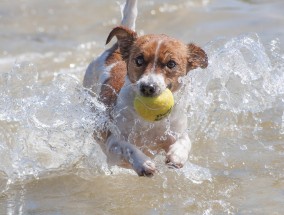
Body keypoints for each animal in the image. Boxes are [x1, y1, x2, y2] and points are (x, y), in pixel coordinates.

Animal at [83, 0, 207, 176]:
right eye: (139, 60)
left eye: (171, 64)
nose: (148, 87)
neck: (150, 123)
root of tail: (115, 50)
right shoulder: (112, 141)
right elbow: (128, 147)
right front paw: (143, 162)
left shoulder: (178, 132)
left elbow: (185, 141)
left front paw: (177, 155)